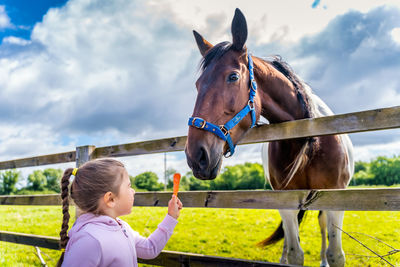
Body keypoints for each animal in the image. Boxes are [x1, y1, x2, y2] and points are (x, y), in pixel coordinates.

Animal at [184, 8, 354, 267]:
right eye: (197, 84)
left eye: (233, 77)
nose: (196, 156)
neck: (309, 140)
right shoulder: (286, 200)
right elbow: (295, 253)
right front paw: (288, 257)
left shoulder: (337, 199)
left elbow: (336, 255)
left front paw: (328, 258)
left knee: (322, 224)